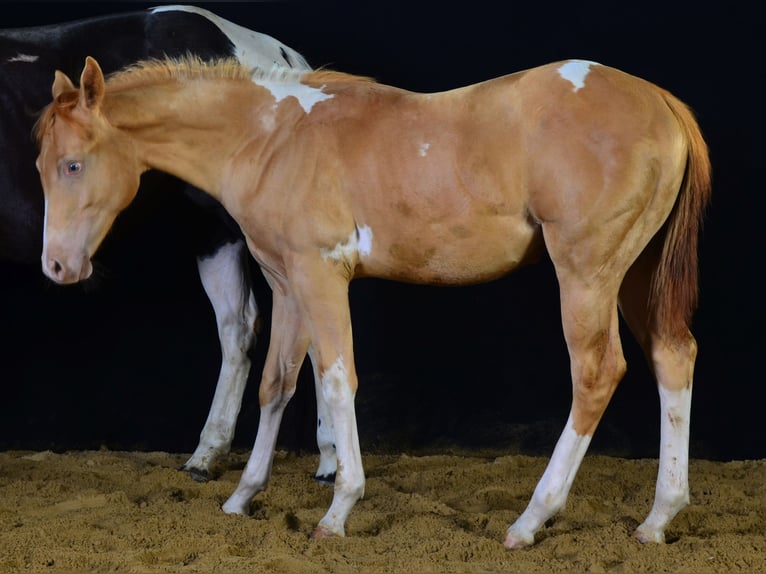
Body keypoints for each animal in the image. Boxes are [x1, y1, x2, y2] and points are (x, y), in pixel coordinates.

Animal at [0, 5, 339, 484]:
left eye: (73, 166)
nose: (58, 264)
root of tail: (279, 56)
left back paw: (329, 460)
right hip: (214, 233)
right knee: (239, 327)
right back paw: (209, 455)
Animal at [34, 54, 711, 547]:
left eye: (73, 164)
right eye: (42, 164)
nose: (58, 267)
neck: (272, 138)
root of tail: (660, 101)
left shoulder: (321, 277)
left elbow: (337, 381)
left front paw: (338, 510)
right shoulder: (287, 284)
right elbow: (277, 383)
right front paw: (242, 496)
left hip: (587, 274)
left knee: (596, 373)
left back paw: (529, 521)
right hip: (635, 275)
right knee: (674, 357)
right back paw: (658, 518)